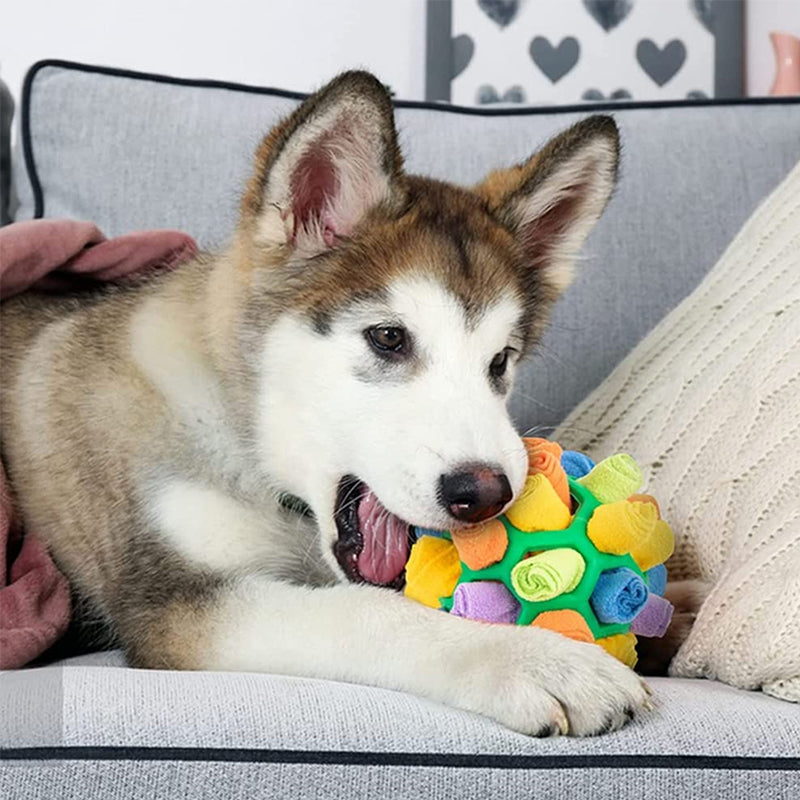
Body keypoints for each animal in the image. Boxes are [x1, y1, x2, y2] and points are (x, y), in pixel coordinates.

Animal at [0, 72, 648, 736]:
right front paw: (535, 660)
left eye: (500, 362)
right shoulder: (172, 602)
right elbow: (362, 610)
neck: (246, 445)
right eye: (388, 337)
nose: (487, 493)